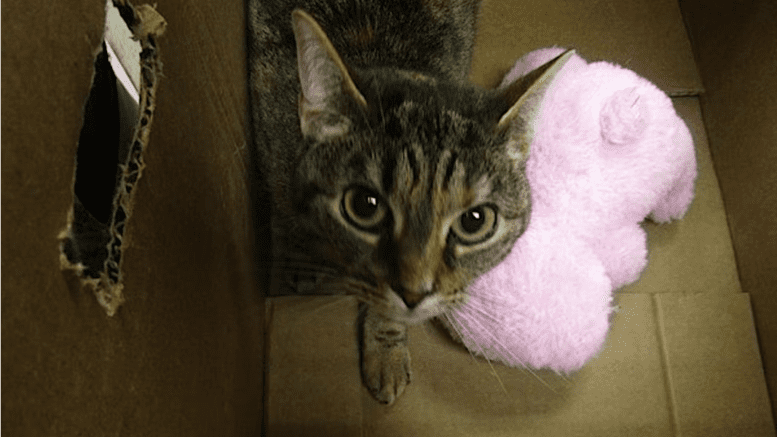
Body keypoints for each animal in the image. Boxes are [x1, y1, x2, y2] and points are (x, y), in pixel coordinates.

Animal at [247, 0, 568, 404]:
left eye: (475, 220)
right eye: (364, 206)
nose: (415, 292)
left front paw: (386, 345)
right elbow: (284, 210)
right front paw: (297, 253)